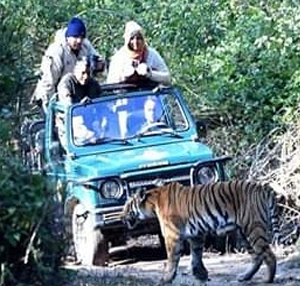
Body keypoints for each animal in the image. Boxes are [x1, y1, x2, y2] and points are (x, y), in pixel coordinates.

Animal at [120, 180, 280, 284]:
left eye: (127, 206)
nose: (121, 218)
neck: (153, 202)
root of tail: (262, 187)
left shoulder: (172, 236)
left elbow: (172, 258)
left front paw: (166, 279)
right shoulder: (196, 235)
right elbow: (196, 255)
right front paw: (201, 275)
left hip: (253, 228)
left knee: (269, 255)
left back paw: (267, 279)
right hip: (243, 232)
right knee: (257, 256)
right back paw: (245, 277)